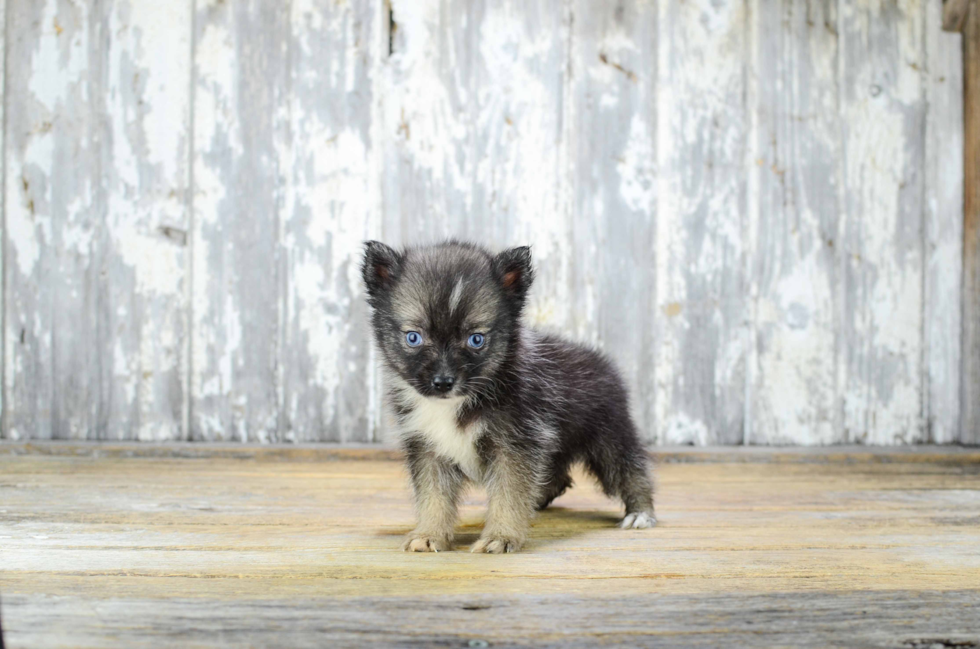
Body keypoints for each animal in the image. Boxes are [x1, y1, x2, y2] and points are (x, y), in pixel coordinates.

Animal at [364, 240, 656, 556]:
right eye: (413, 337)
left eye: (476, 339)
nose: (442, 382)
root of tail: (602, 362)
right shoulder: (427, 447)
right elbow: (433, 495)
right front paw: (429, 533)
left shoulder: (515, 445)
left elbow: (509, 493)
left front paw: (501, 536)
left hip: (609, 435)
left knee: (629, 469)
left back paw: (641, 512)